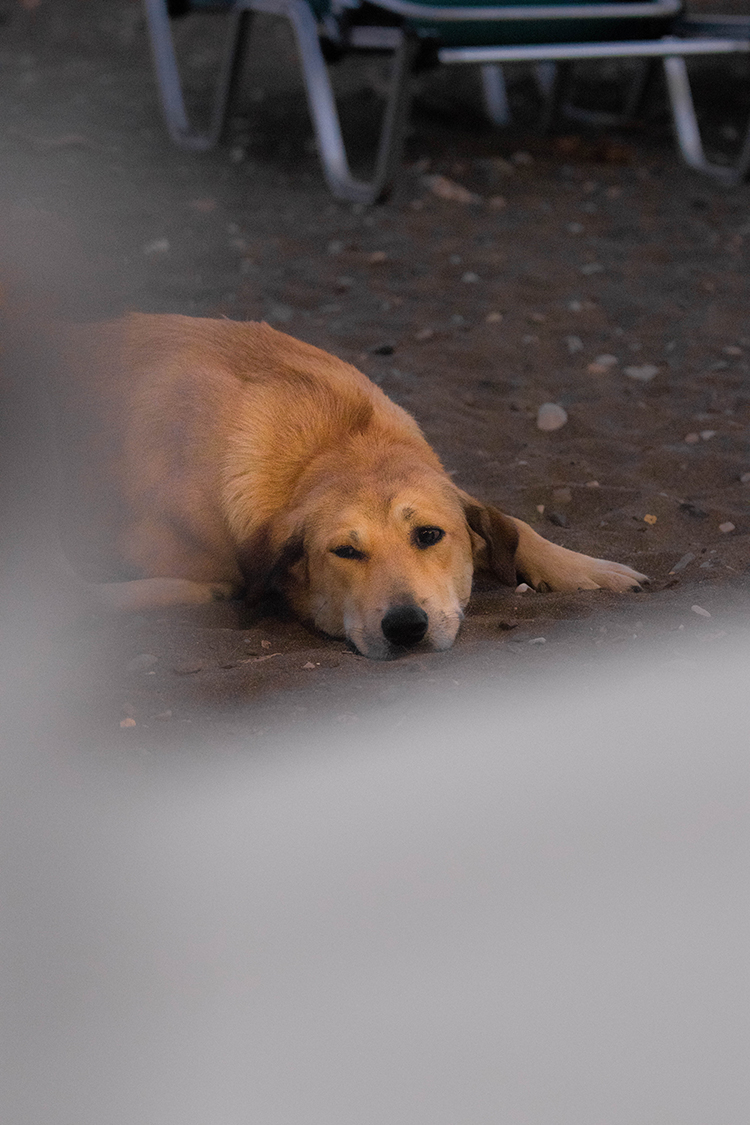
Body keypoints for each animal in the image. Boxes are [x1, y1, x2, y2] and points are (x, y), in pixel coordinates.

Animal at [57, 313, 647, 659]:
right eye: (344, 551)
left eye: (429, 536)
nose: (405, 627)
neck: (334, 442)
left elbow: (515, 526)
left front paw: (591, 569)